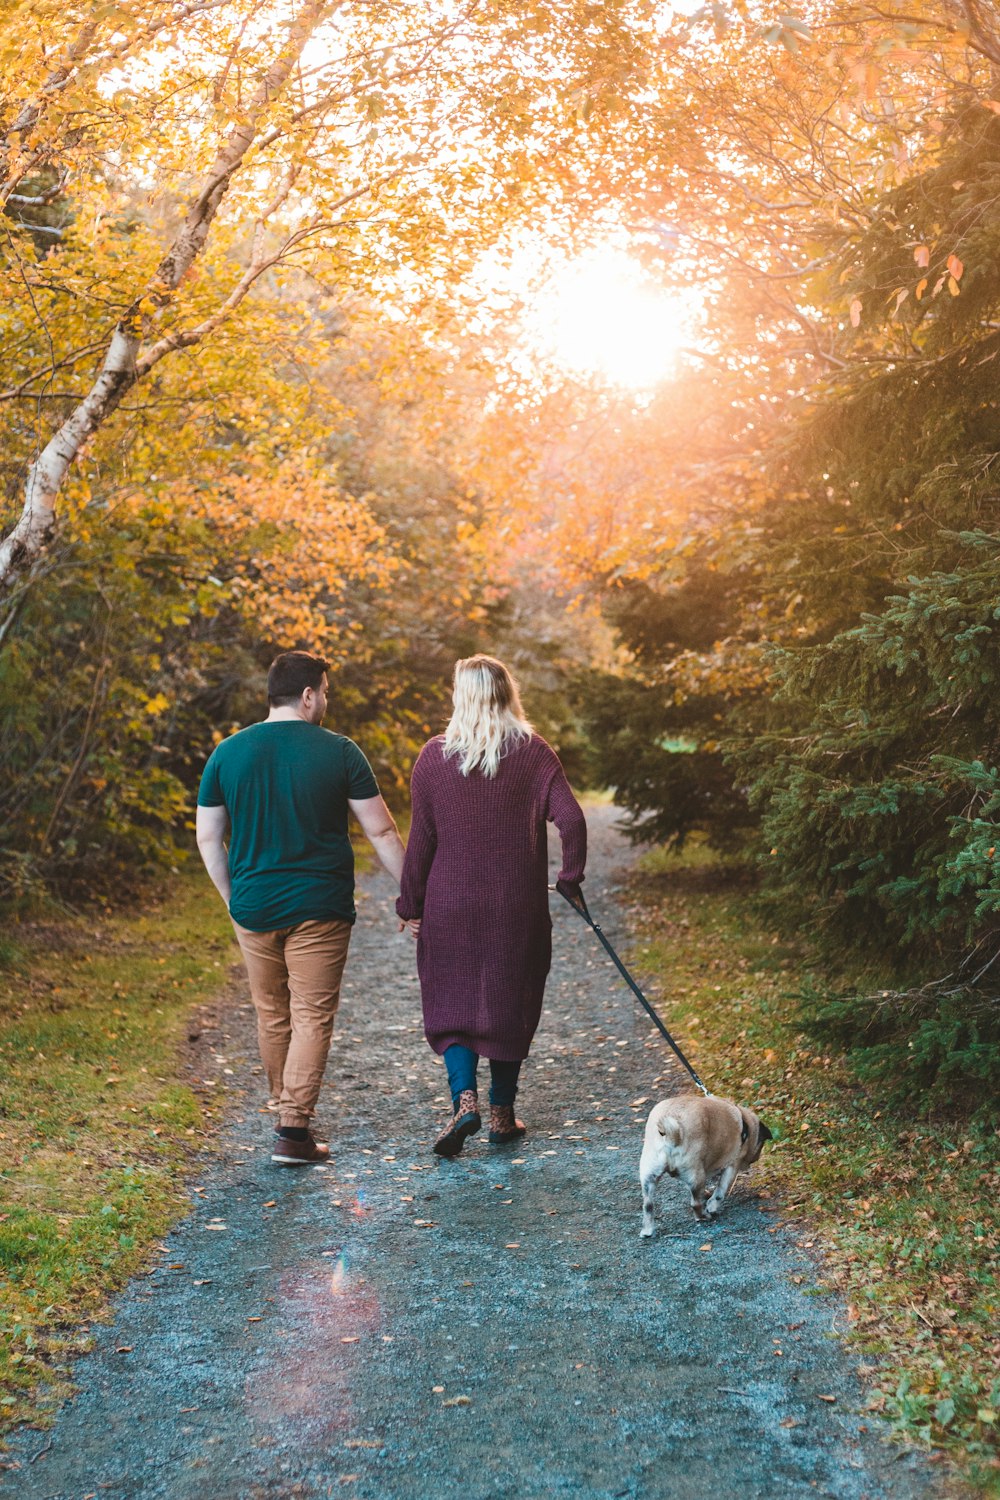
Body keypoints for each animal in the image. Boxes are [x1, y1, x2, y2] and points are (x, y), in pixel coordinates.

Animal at [641, 1098, 773, 1236]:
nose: (757, 1157)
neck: (746, 1127)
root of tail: (671, 1135)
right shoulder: (732, 1166)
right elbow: (720, 1191)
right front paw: (712, 1206)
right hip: (697, 1176)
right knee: (695, 1204)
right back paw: (703, 1216)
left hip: (649, 1175)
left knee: (648, 1205)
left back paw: (647, 1230)